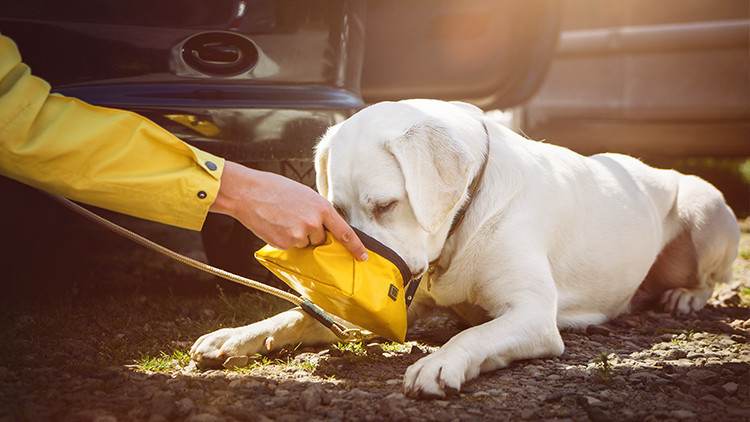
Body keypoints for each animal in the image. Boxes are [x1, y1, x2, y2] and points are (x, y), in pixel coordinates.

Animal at [191, 99, 744, 398]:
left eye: (386, 205)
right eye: (338, 211)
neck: (461, 224)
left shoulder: (531, 316)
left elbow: (474, 336)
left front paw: (439, 364)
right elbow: (294, 317)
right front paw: (235, 335)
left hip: (704, 205)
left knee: (710, 277)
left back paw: (685, 297)